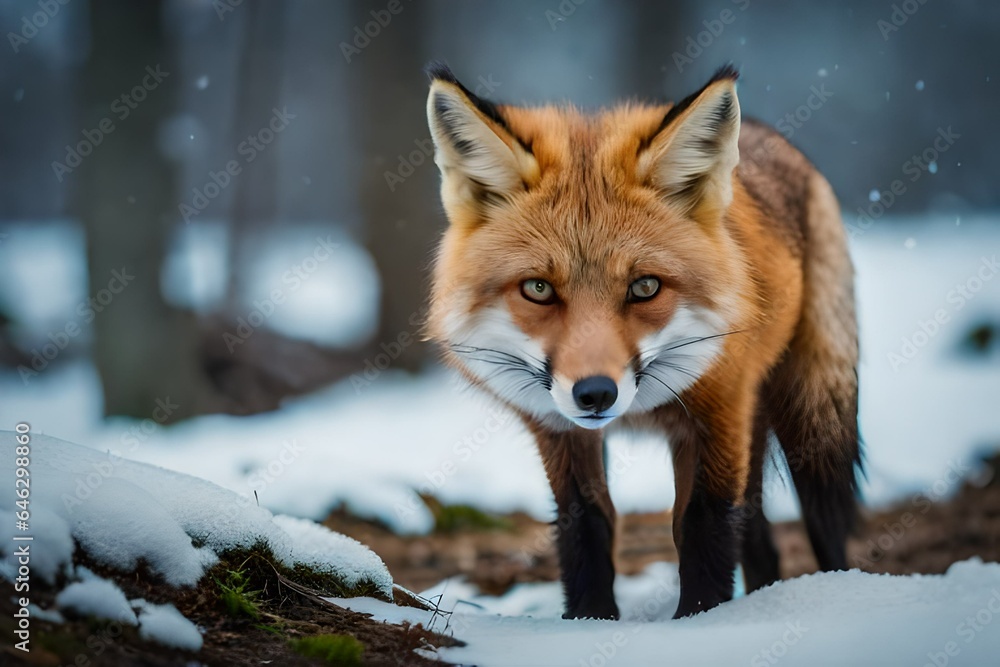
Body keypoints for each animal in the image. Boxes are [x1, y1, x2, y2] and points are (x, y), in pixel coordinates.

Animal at [423, 62, 861, 620]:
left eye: (645, 287)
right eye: (538, 289)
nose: (595, 393)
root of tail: (774, 136)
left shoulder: (720, 407)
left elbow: (702, 521)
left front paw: (699, 618)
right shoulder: (559, 431)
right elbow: (586, 524)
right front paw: (589, 619)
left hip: (808, 416)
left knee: (819, 519)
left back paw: (836, 590)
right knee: (761, 539)